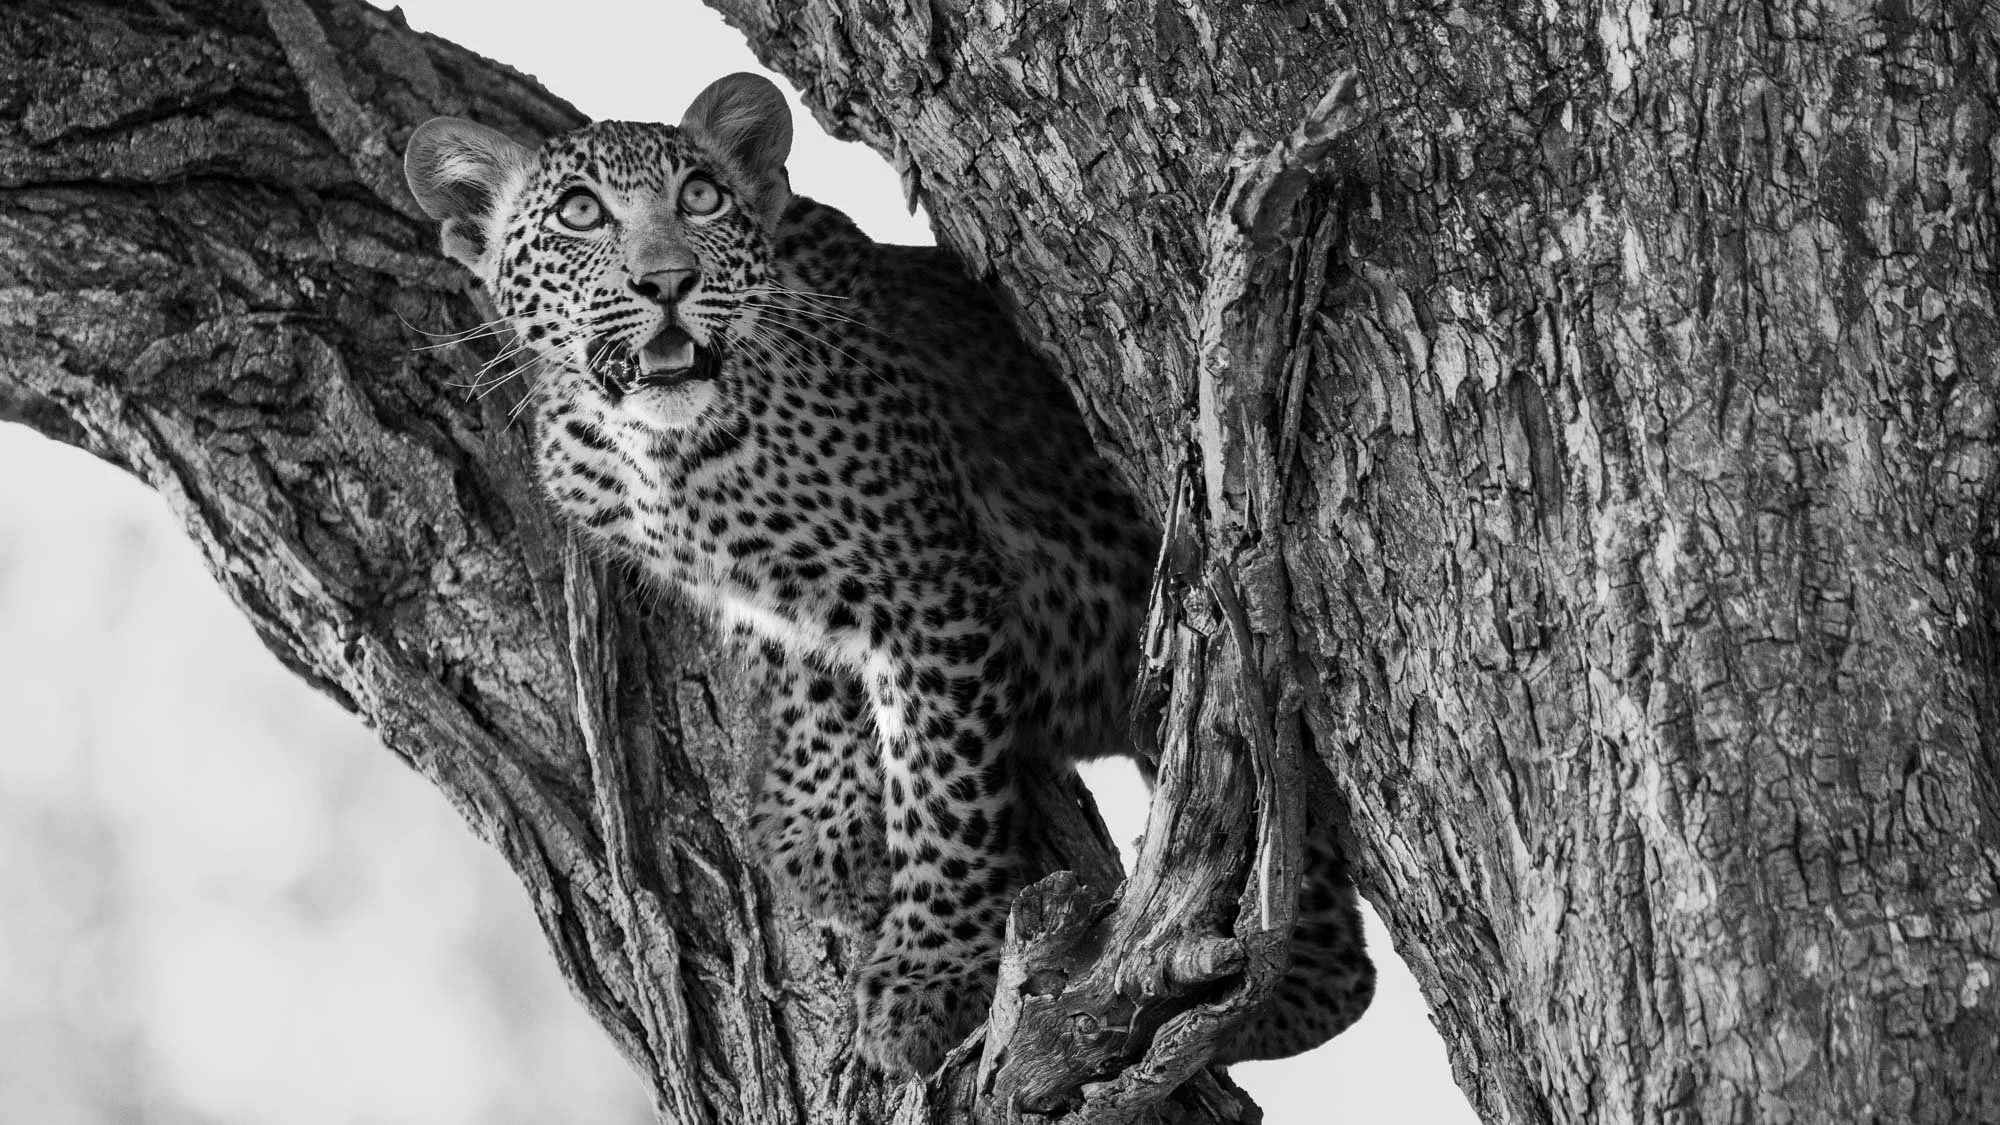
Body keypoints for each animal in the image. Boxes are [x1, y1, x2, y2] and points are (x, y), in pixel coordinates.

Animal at [403, 72, 1373, 1076]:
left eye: (701, 198)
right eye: (579, 213)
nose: (668, 282)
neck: (653, 451)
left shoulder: (931, 583)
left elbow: (943, 791)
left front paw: (928, 974)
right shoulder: (765, 589)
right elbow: (798, 658)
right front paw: (826, 821)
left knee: (1325, 958)